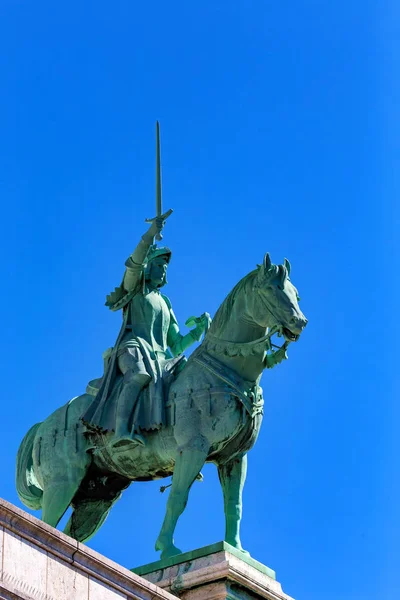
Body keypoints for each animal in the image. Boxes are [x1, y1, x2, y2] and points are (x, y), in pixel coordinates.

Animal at [16, 252, 306, 556]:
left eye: (295, 293)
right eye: (272, 289)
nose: (300, 322)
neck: (225, 370)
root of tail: (43, 425)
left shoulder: (235, 458)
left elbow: (234, 505)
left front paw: (237, 549)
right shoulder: (193, 449)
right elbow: (178, 498)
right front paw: (167, 549)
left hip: (95, 498)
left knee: (70, 532)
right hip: (64, 482)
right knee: (48, 523)